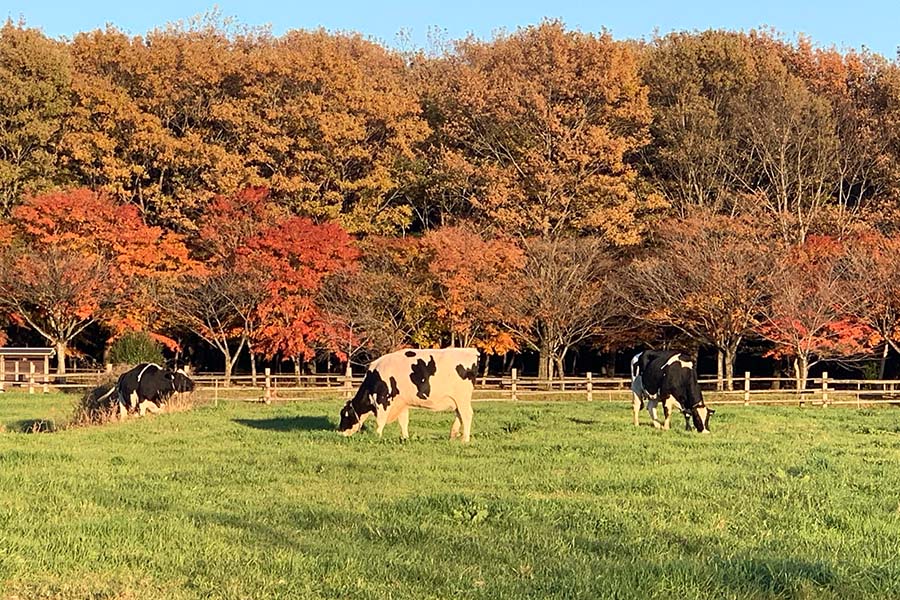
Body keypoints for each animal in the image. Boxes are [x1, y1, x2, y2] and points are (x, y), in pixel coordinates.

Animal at [340, 350, 482, 442]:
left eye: (344, 415)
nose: (339, 431)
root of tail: (471, 351)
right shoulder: (402, 402)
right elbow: (403, 421)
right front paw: (405, 438)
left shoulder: (382, 400)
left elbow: (380, 420)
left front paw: (377, 436)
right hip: (457, 400)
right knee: (459, 415)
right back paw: (453, 436)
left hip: (462, 398)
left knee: (466, 415)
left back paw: (465, 439)